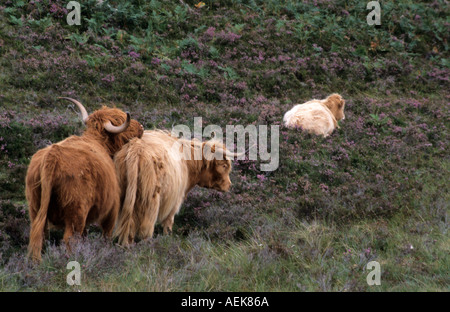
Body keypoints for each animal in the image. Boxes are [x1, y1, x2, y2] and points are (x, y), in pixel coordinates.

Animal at [25, 98, 144, 260]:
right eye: (121, 119)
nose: (141, 127)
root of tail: (52, 155)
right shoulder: (112, 209)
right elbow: (106, 234)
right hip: (77, 211)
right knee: (70, 238)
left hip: (35, 206)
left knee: (39, 234)